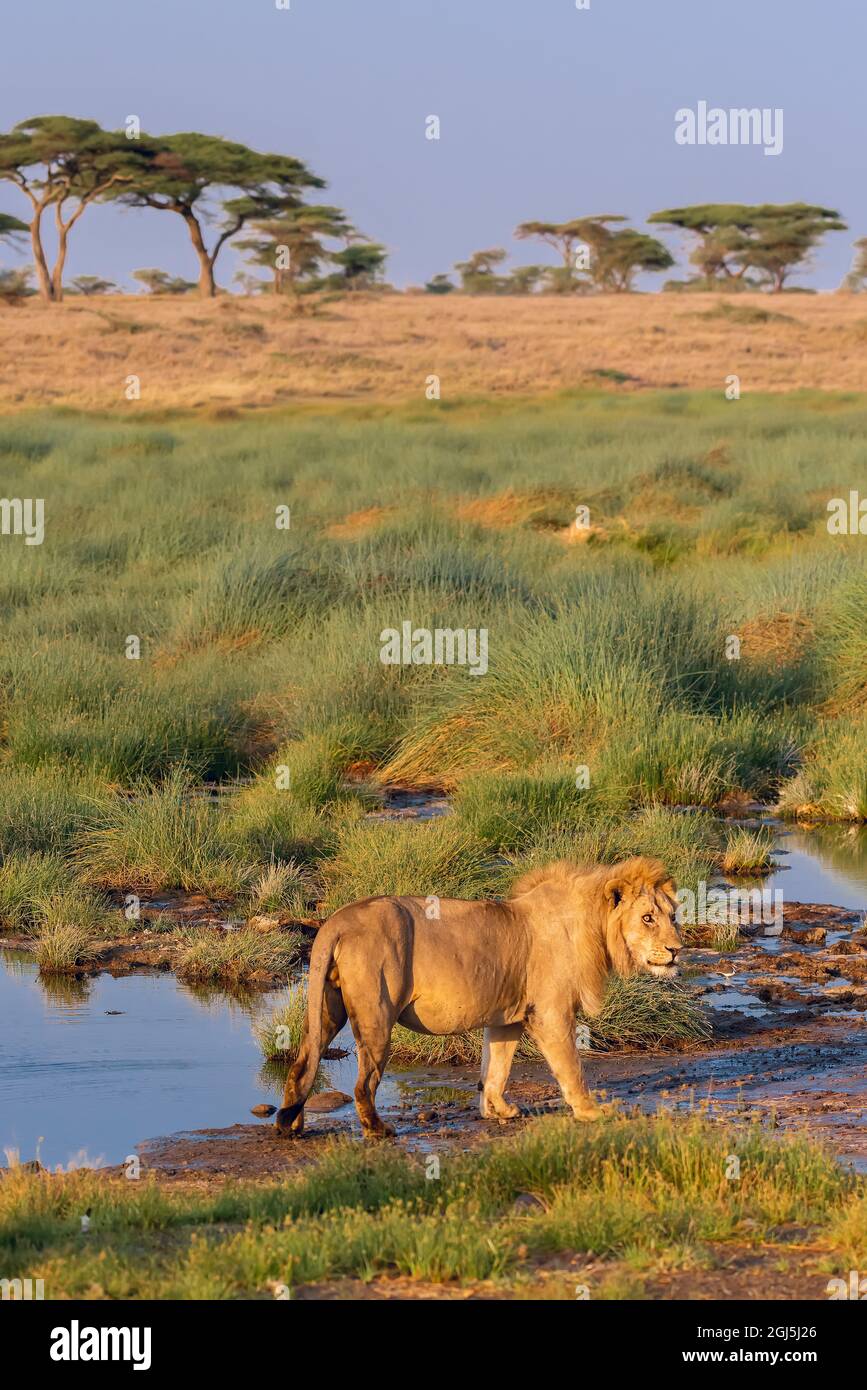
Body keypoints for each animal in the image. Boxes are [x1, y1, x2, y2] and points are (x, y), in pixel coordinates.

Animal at [274, 855, 682, 1139]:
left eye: (673, 916)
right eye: (647, 918)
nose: (677, 950)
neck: (593, 926)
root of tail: (336, 920)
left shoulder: (508, 1017)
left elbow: (496, 1067)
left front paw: (497, 1109)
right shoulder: (550, 1012)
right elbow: (571, 1067)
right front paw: (590, 1112)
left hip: (327, 1007)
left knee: (302, 1063)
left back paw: (290, 1125)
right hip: (376, 1013)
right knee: (363, 1084)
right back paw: (378, 1130)